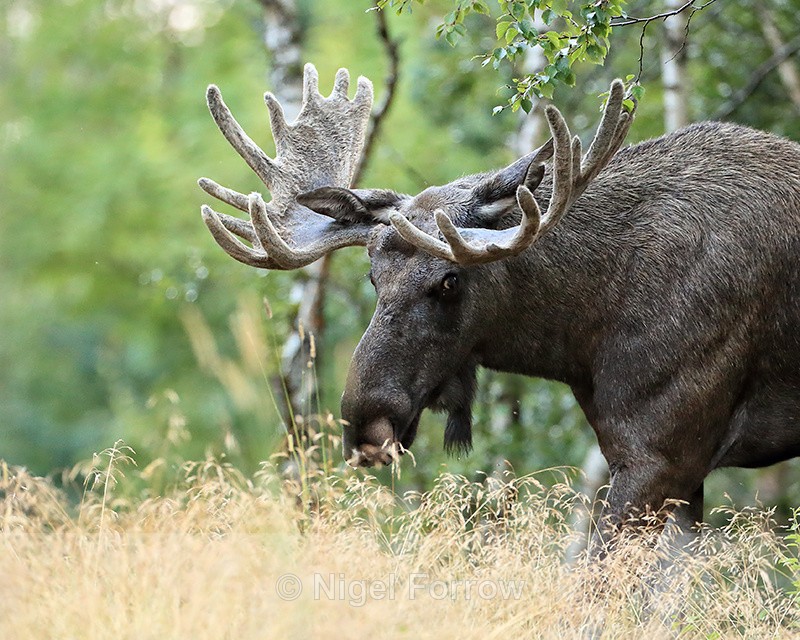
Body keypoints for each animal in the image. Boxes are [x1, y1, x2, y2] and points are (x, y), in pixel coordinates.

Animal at [197, 64, 800, 554]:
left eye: (448, 281)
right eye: (373, 277)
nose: (366, 422)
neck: (580, 339)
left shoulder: (663, 452)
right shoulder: (671, 467)